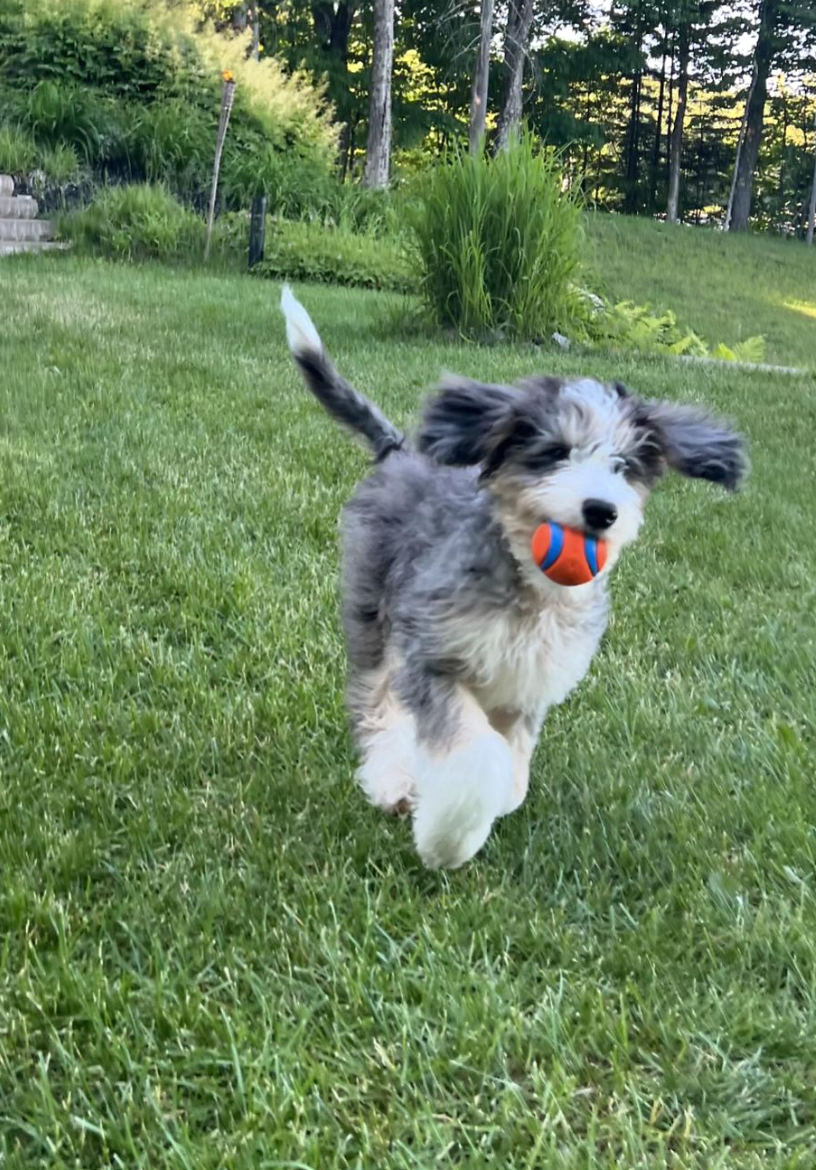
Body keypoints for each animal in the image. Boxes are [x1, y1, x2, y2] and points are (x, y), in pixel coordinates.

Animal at [279, 283, 744, 870]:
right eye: (556, 453)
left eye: (625, 466)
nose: (601, 511)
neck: (529, 589)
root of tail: (399, 452)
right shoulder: (435, 657)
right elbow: (476, 762)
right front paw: (448, 841)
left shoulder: (526, 685)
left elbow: (510, 760)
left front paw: (496, 800)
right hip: (373, 615)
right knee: (375, 703)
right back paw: (390, 782)